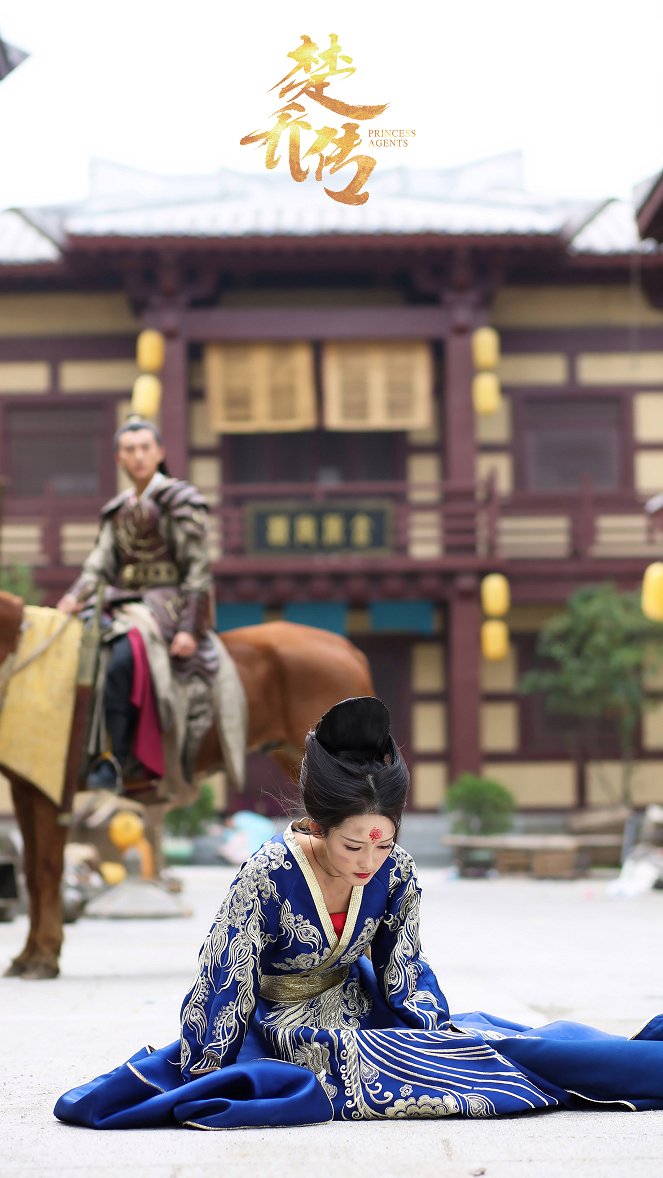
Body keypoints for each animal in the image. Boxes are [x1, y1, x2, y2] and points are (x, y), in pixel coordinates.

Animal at [0, 593, 374, 980]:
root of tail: (347, 649)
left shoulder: (51, 793)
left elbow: (46, 870)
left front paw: (43, 957)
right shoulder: (24, 789)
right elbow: (31, 870)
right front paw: (29, 955)